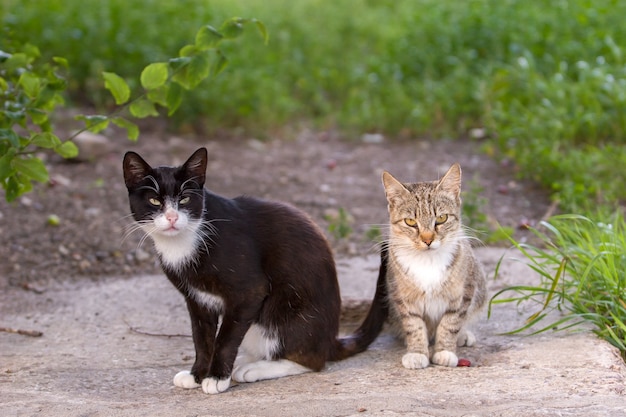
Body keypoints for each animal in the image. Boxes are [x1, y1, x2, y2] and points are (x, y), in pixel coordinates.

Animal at [121, 147, 376, 394]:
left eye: (184, 199)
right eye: (155, 201)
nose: (172, 217)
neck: (182, 244)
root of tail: (331, 339)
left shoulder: (249, 291)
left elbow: (226, 338)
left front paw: (216, 378)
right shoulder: (196, 298)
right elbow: (201, 338)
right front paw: (197, 375)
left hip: (285, 312)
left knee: (311, 360)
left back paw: (256, 368)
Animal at [352, 162, 482, 368]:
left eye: (442, 219)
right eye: (410, 221)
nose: (428, 240)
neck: (427, 261)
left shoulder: (464, 291)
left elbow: (450, 323)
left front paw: (445, 351)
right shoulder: (402, 295)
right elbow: (414, 325)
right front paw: (417, 352)